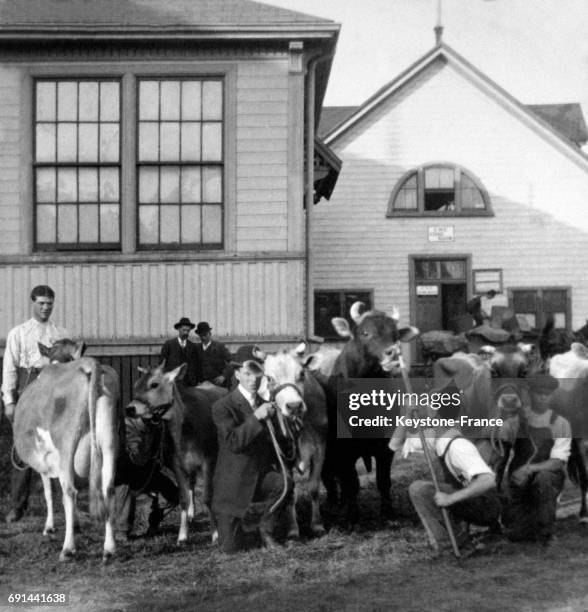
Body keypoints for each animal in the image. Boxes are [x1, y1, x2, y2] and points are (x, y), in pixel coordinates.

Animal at [127, 360, 222, 544]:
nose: (130, 409)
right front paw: (183, 535)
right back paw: (191, 513)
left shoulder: (209, 460)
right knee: (191, 484)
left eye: (154, 384)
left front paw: (215, 534)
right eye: (136, 384)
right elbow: (183, 497)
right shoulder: (176, 464)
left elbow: (207, 496)